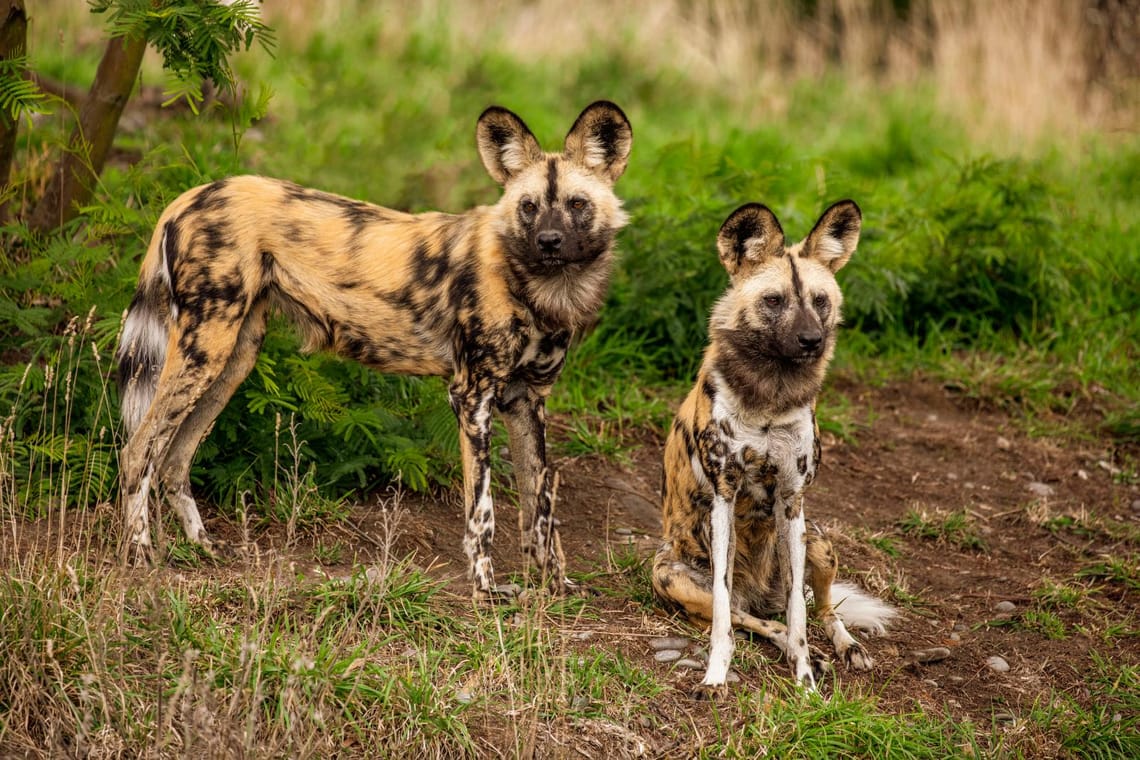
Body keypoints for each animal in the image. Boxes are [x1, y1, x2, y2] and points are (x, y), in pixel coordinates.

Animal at [115, 100, 633, 601]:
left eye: (577, 204)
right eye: (528, 207)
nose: (549, 242)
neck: (541, 288)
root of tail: (192, 194)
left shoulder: (528, 401)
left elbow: (540, 505)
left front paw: (555, 584)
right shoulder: (473, 397)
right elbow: (482, 511)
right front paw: (486, 589)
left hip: (232, 359)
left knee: (174, 460)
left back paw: (201, 545)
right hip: (205, 350)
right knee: (138, 449)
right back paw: (140, 552)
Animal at [656, 199, 893, 692]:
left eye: (820, 301)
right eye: (774, 300)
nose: (812, 341)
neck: (770, 396)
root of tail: (759, 595)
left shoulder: (792, 499)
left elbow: (801, 614)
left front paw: (804, 681)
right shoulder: (724, 498)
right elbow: (724, 615)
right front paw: (715, 676)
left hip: (818, 542)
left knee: (818, 609)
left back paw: (843, 649)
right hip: (670, 575)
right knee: (751, 617)